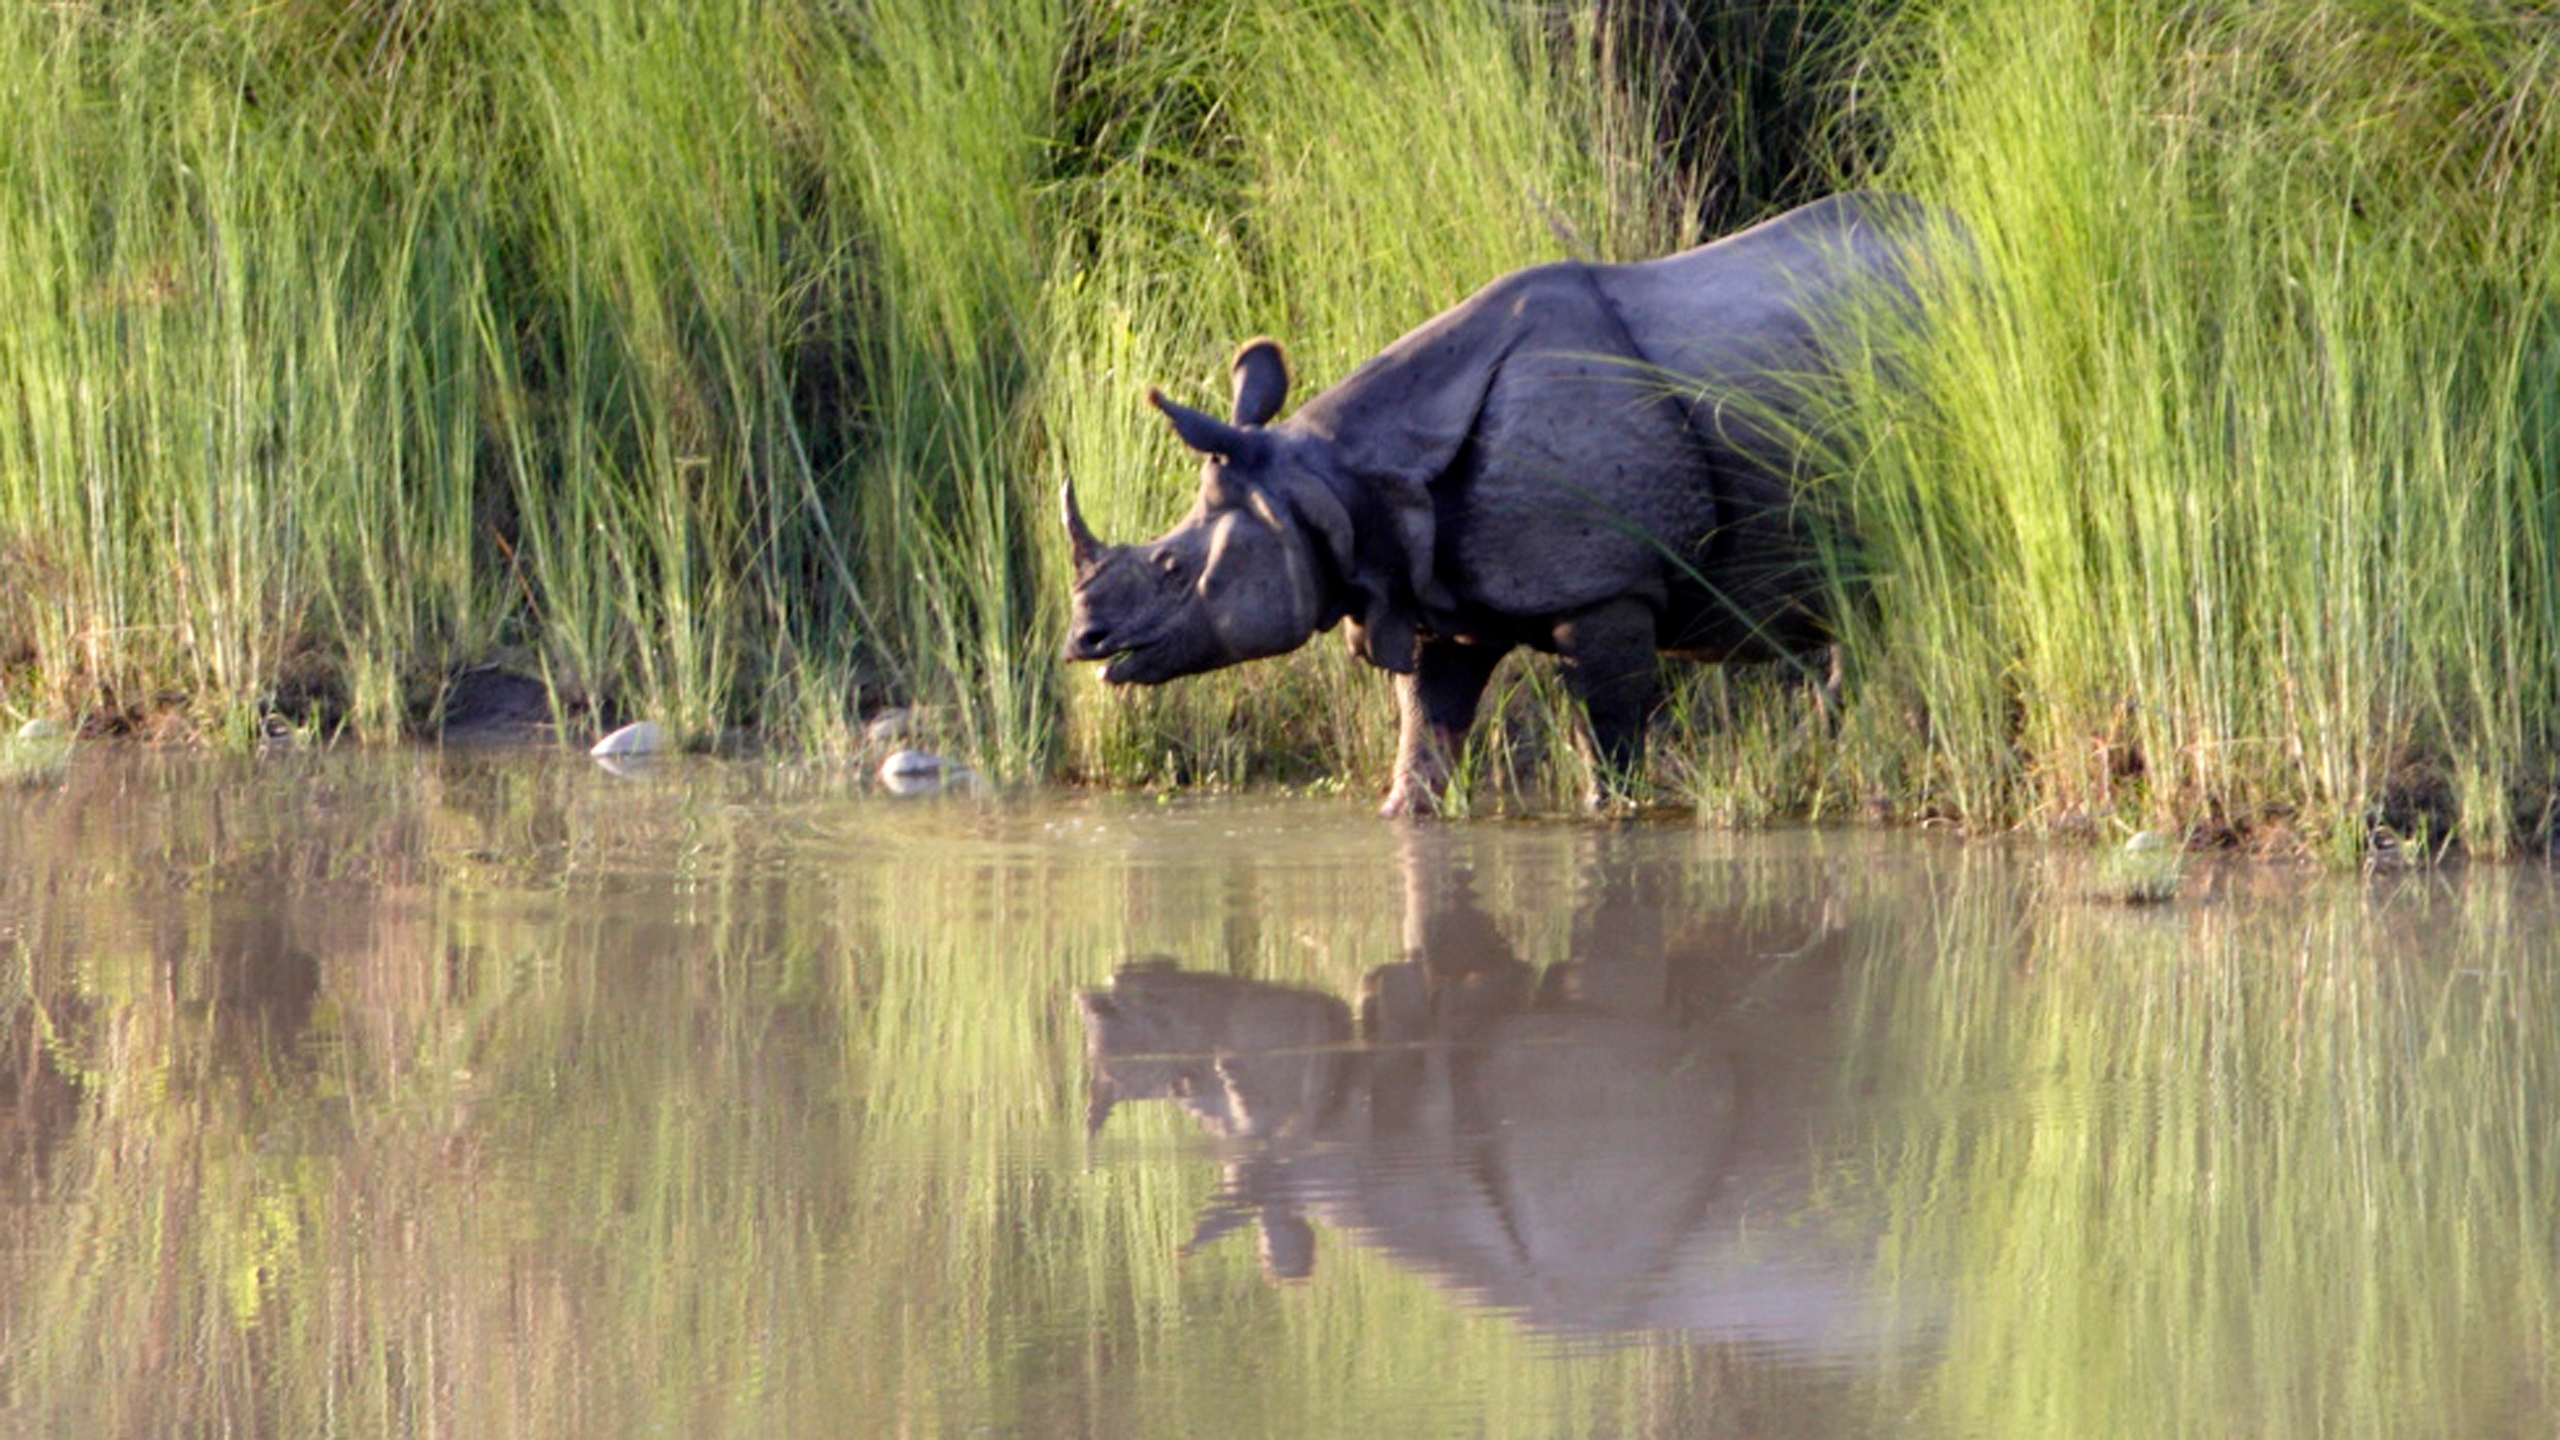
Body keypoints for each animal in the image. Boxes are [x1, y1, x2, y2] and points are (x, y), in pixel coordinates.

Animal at [1062, 191, 1940, 814]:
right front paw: (1403, 813)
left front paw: (1612, 814)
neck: (1338, 487)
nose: (1083, 642)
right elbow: (1424, 740)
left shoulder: (1607, 589)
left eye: (1173, 568)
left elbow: (1611, 739)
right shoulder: (1427, 596)